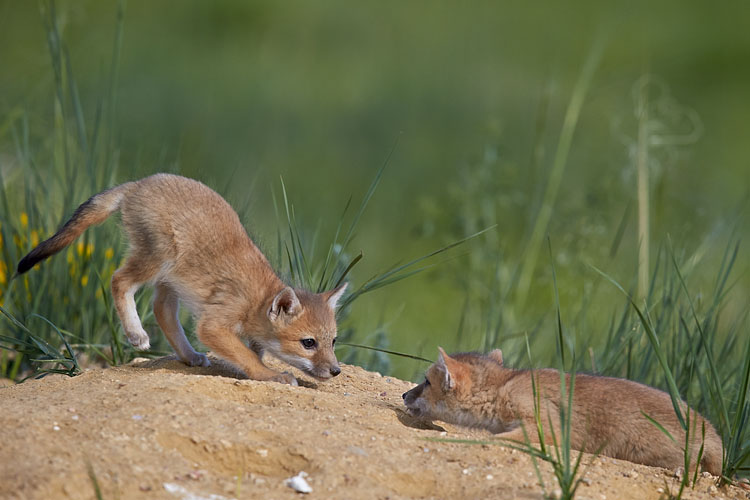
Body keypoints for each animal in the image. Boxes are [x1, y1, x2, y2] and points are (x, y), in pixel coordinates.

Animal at [16, 173, 348, 386]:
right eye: (308, 343)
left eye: (333, 341)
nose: (336, 371)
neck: (256, 299)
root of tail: (139, 183)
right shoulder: (213, 325)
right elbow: (248, 358)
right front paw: (271, 375)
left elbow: (252, 352)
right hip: (157, 260)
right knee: (119, 280)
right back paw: (137, 335)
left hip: (171, 279)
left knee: (162, 311)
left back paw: (188, 356)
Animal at [403, 347, 723, 475]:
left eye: (427, 381)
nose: (404, 394)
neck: (504, 386)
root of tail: (710, 428)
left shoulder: (545, 428)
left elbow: (498, 439)